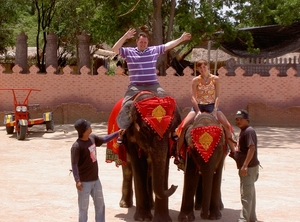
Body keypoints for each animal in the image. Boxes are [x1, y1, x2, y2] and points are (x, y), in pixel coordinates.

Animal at [106, 91, 180, 221]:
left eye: (171, 128)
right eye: (145, 128)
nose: (174, 185)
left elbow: (164, 164)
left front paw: (162, 220)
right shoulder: (129, 135)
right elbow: (139, 166)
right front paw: (143, 218)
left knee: (149, 173)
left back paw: (151, 205)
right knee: (128, 170)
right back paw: (125, 205)